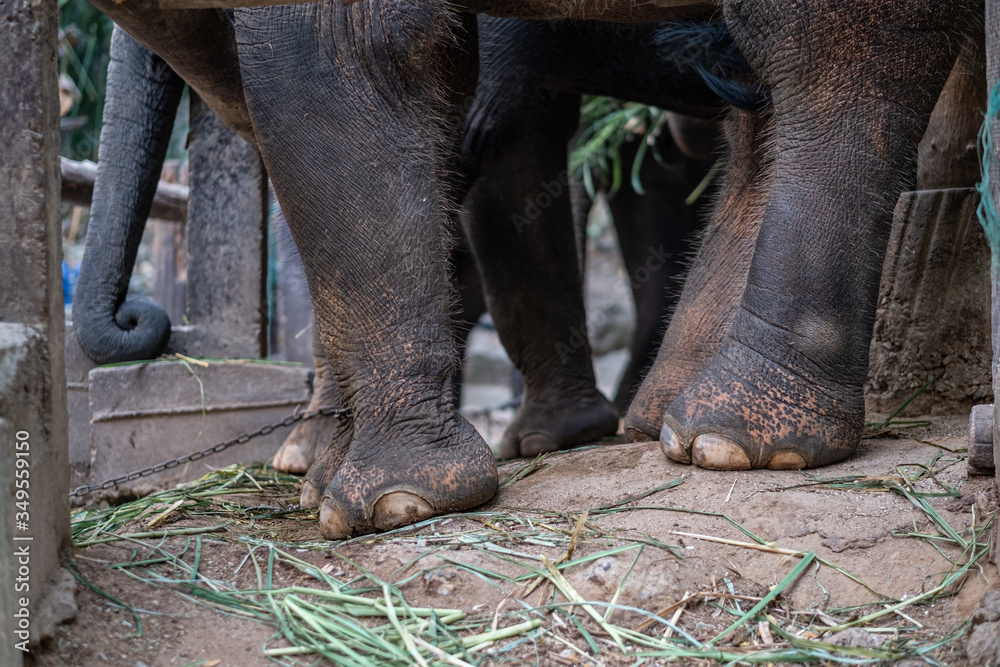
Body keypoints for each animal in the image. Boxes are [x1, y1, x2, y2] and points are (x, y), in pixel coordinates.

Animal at [80, 0, 980, 539]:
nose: (141, 319)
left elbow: (381, 69)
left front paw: (390, 503)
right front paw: (315, 473)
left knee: (838, 49)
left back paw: (729, 438)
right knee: (755, 114)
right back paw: (669, 424)